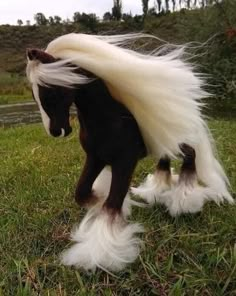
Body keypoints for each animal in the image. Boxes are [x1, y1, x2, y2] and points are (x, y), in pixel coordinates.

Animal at [25, 33, 232, 272]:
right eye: (34, 96)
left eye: (50, 93)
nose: (57, 132)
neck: (109, 119)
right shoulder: (95, 158)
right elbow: (82, 193)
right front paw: (107, 204)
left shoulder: (124, 162)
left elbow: (111, 204)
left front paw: (100, 253)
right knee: (165, 162)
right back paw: (157, 191)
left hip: (177, 142)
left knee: (190, 157)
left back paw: (185, 201)